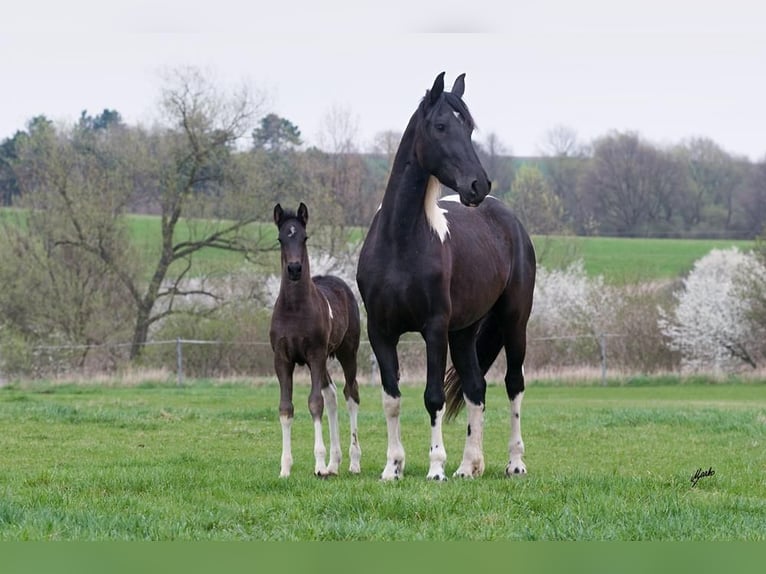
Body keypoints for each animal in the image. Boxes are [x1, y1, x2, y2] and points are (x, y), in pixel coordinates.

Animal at [270, 205, 364, 480]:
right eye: (281, 238)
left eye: (304, 237)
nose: (294, 269)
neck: (294, 309)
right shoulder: (282, 360)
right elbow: (286, 408)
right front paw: (285, 468)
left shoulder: (315, 355)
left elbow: (314, 403)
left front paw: (319, 464)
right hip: (321, 363)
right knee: (331, 394)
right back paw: (335, 464)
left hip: (346, 353)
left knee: (350, 393)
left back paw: (353, 462)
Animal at [356, 74, 536, 484]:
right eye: (440, 126)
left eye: (468, 128)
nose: (478, 185)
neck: (400, 241)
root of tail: (507, 218)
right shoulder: (380, 332)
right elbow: (391, 398)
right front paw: (392, 467)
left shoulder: (434, 329)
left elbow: (432, 396)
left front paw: (435, 466)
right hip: (464, 332)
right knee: (475, 387)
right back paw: (469, 466)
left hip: (514, 321)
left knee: (513, 385)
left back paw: (514, 463)